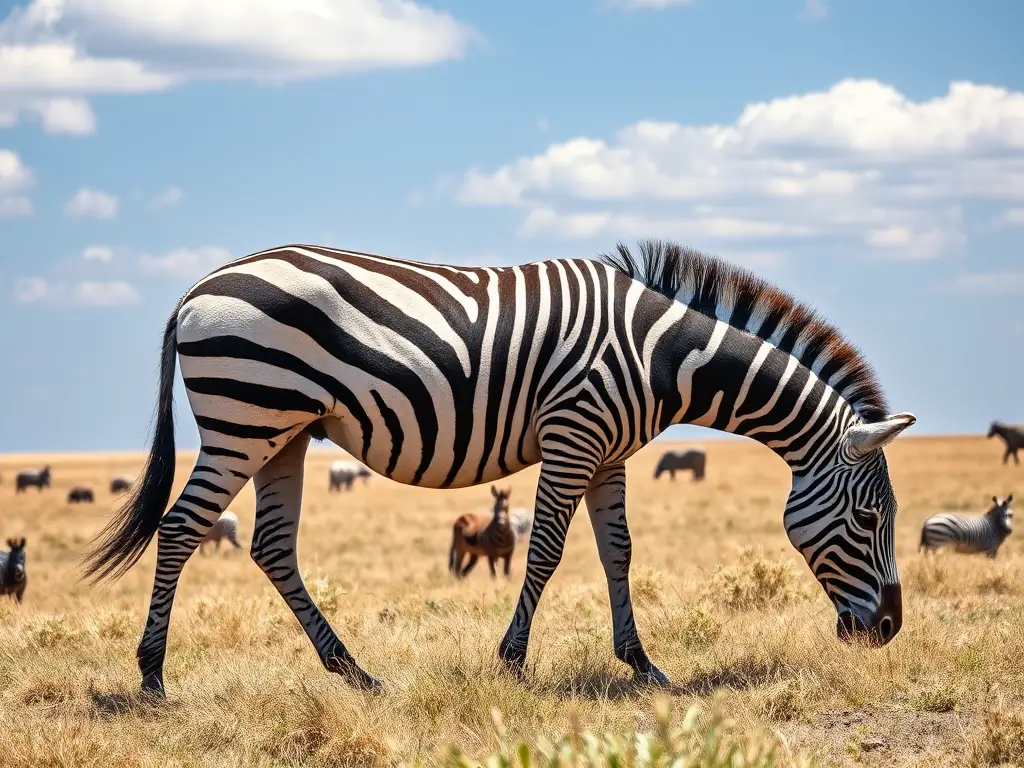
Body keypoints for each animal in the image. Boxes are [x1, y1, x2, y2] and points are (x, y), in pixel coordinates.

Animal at [81, 238, 916, 697]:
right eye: (870, 518)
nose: (889, 631)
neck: (660, 357)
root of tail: (197, 289)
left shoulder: (609, 454)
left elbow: (619, 553)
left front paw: (642, 665)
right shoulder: (574, 433)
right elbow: (544, 550)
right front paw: (513, 662)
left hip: (283, 430)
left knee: (270, 547)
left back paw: (354, 672)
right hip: (246, 417)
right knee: (182, 528)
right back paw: (153, 676)